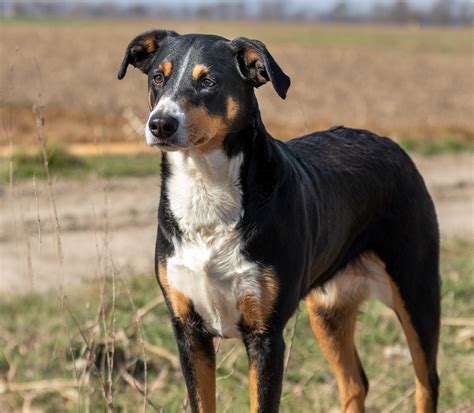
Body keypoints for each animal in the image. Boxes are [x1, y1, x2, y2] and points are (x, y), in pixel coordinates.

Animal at [117, 29, 440, 412]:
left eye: (209, 81)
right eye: (157, 78)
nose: (160, 124)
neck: (205, 188)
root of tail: (389, 144)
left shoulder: (266, 336)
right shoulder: (189, 332)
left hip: (416, 292)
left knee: (426, 382)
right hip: (328, 311)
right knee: (354, 382)